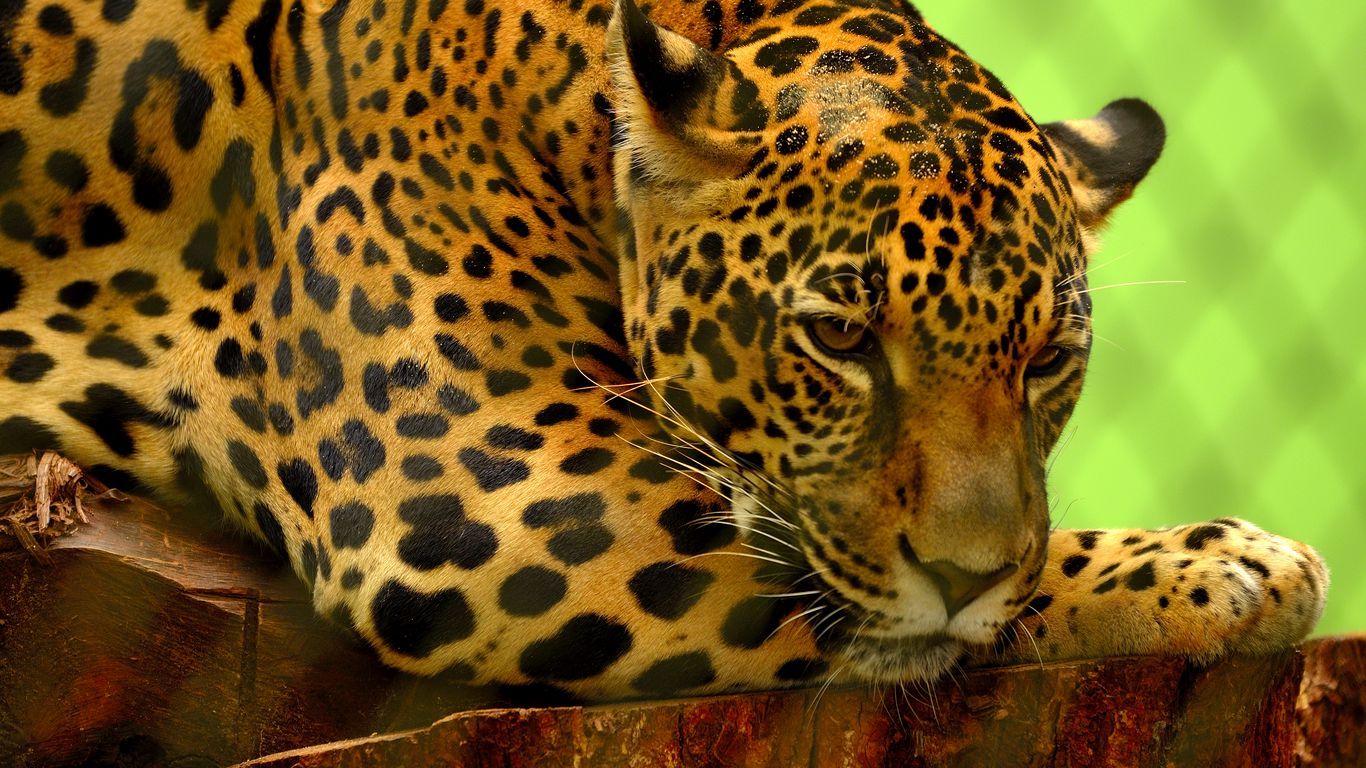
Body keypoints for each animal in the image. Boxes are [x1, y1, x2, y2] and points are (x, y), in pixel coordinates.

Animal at [0, 0, 1327, 702]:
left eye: (1046, 359)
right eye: (839, 336)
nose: (964, 570)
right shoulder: (485, 497)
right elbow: (879, 610)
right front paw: (1214, 566)